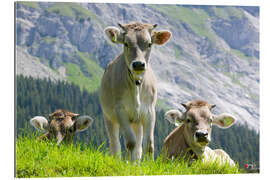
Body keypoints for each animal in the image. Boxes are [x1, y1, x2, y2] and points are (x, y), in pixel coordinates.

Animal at [99, 21, 171, 161]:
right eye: (126, 43)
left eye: (149, 44)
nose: (138, 64)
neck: (137, 83)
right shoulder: (120, 111)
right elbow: (130, 142)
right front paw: (128, 164)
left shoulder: (149, 112)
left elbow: (148, 144)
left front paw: (148, 165)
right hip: (108, 117)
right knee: (115, 143)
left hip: (137, 121)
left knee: (139, 145)